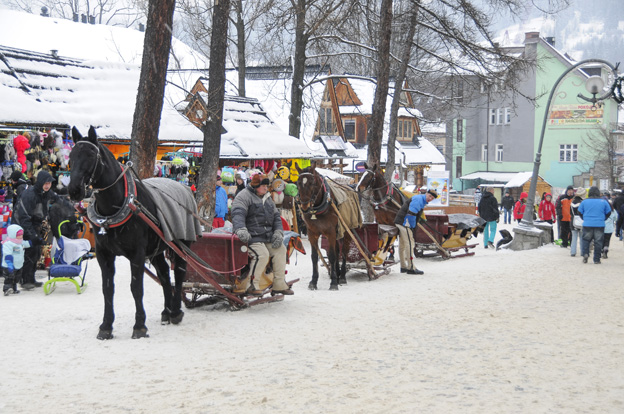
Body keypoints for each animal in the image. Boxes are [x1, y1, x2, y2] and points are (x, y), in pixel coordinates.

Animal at [68, 126, 196, 340]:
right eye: (71, 156)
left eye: (91, 155)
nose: (74, 190)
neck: (115, 206)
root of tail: (183, 186)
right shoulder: (104, 253)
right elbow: (107, 288)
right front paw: (106, 326)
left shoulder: (137, 253)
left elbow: (136, 288)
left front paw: (139, 325)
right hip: (157, 249)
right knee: (164, 274)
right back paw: (167, 311)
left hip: (182, 243)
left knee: (178, 273)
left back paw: (176, 311)